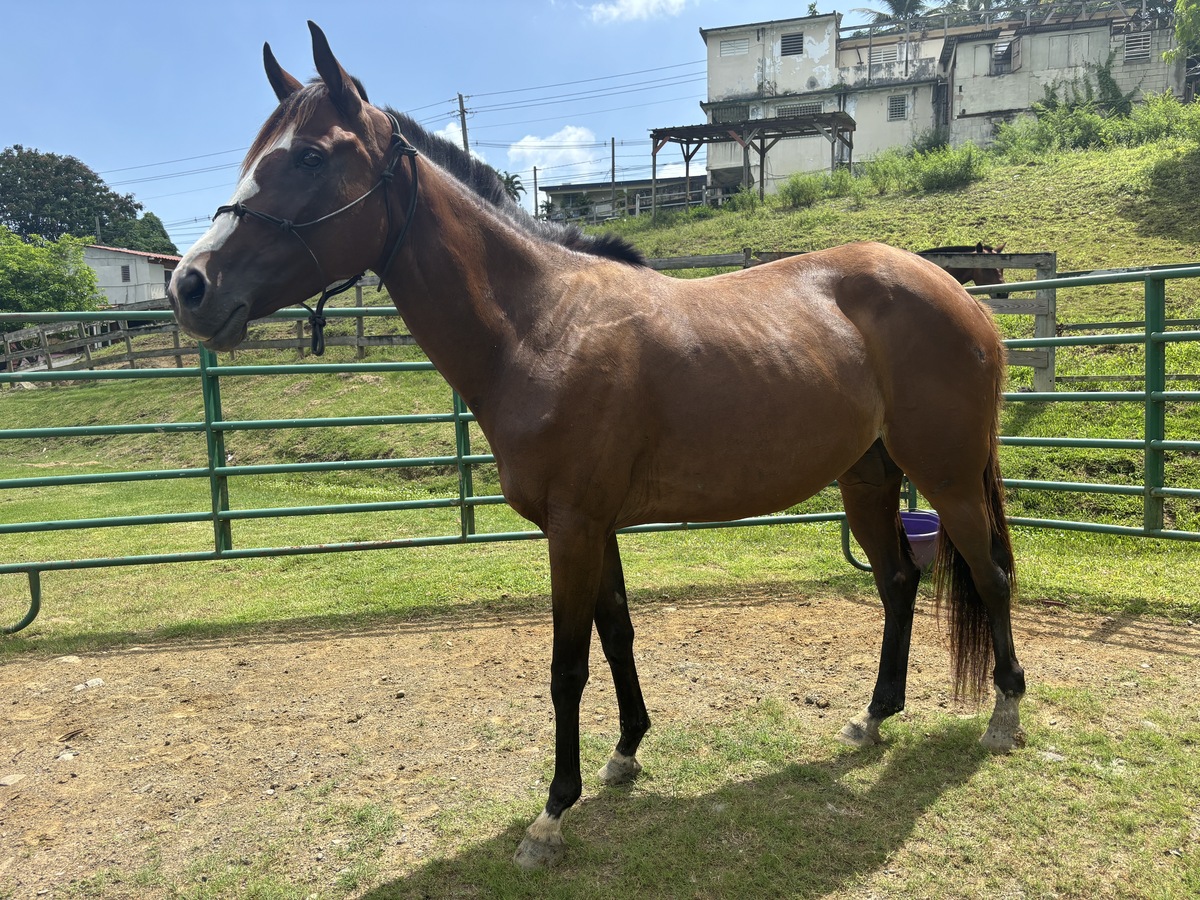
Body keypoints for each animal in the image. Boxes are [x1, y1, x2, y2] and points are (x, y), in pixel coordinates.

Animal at [167, 22, 1026, 870]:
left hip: (947, 477)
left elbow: (567, 666)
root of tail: (961, 295)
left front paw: (552, 813)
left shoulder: (573, 528)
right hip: (868, 478)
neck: (543, 325)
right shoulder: (596, 526)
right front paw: (626, 753)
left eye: (310, 157)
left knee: (990, 576)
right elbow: (617, 634)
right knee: (898, 582)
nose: (190, 285)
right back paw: (874, 716)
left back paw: (1004, 716)